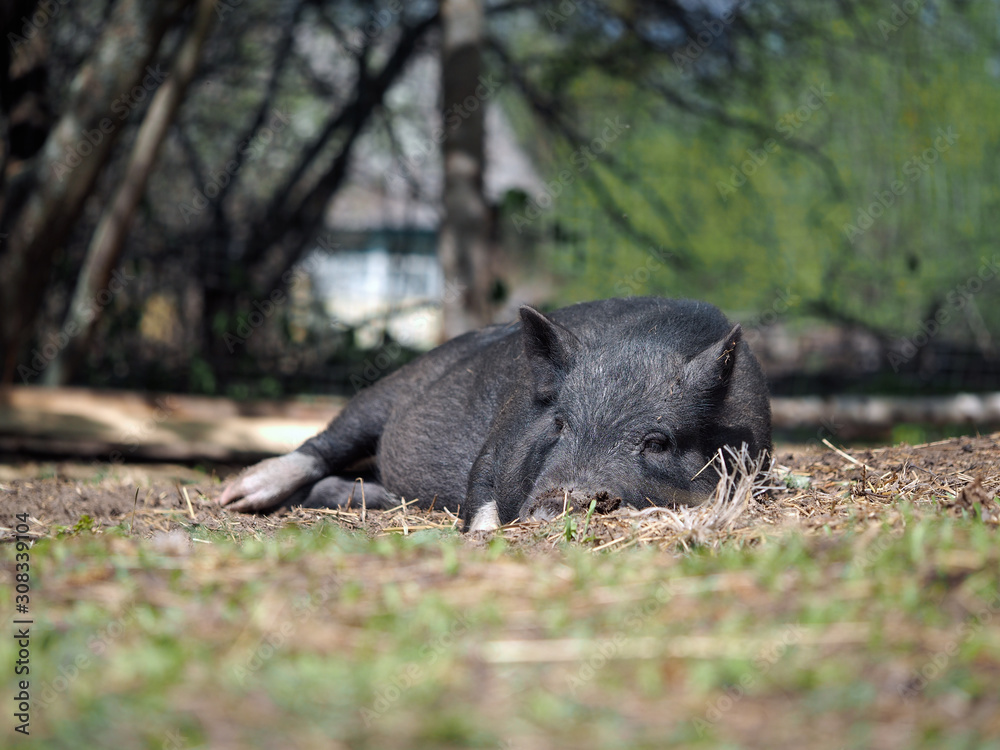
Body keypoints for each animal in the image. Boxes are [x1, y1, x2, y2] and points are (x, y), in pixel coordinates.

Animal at [218, 297, 772, 531]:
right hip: (386, 392)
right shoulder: (504, 433)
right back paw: (236, 496)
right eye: (559, 423)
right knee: (324, 442)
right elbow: (480, 492)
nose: (562, 499)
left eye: (657, 441)